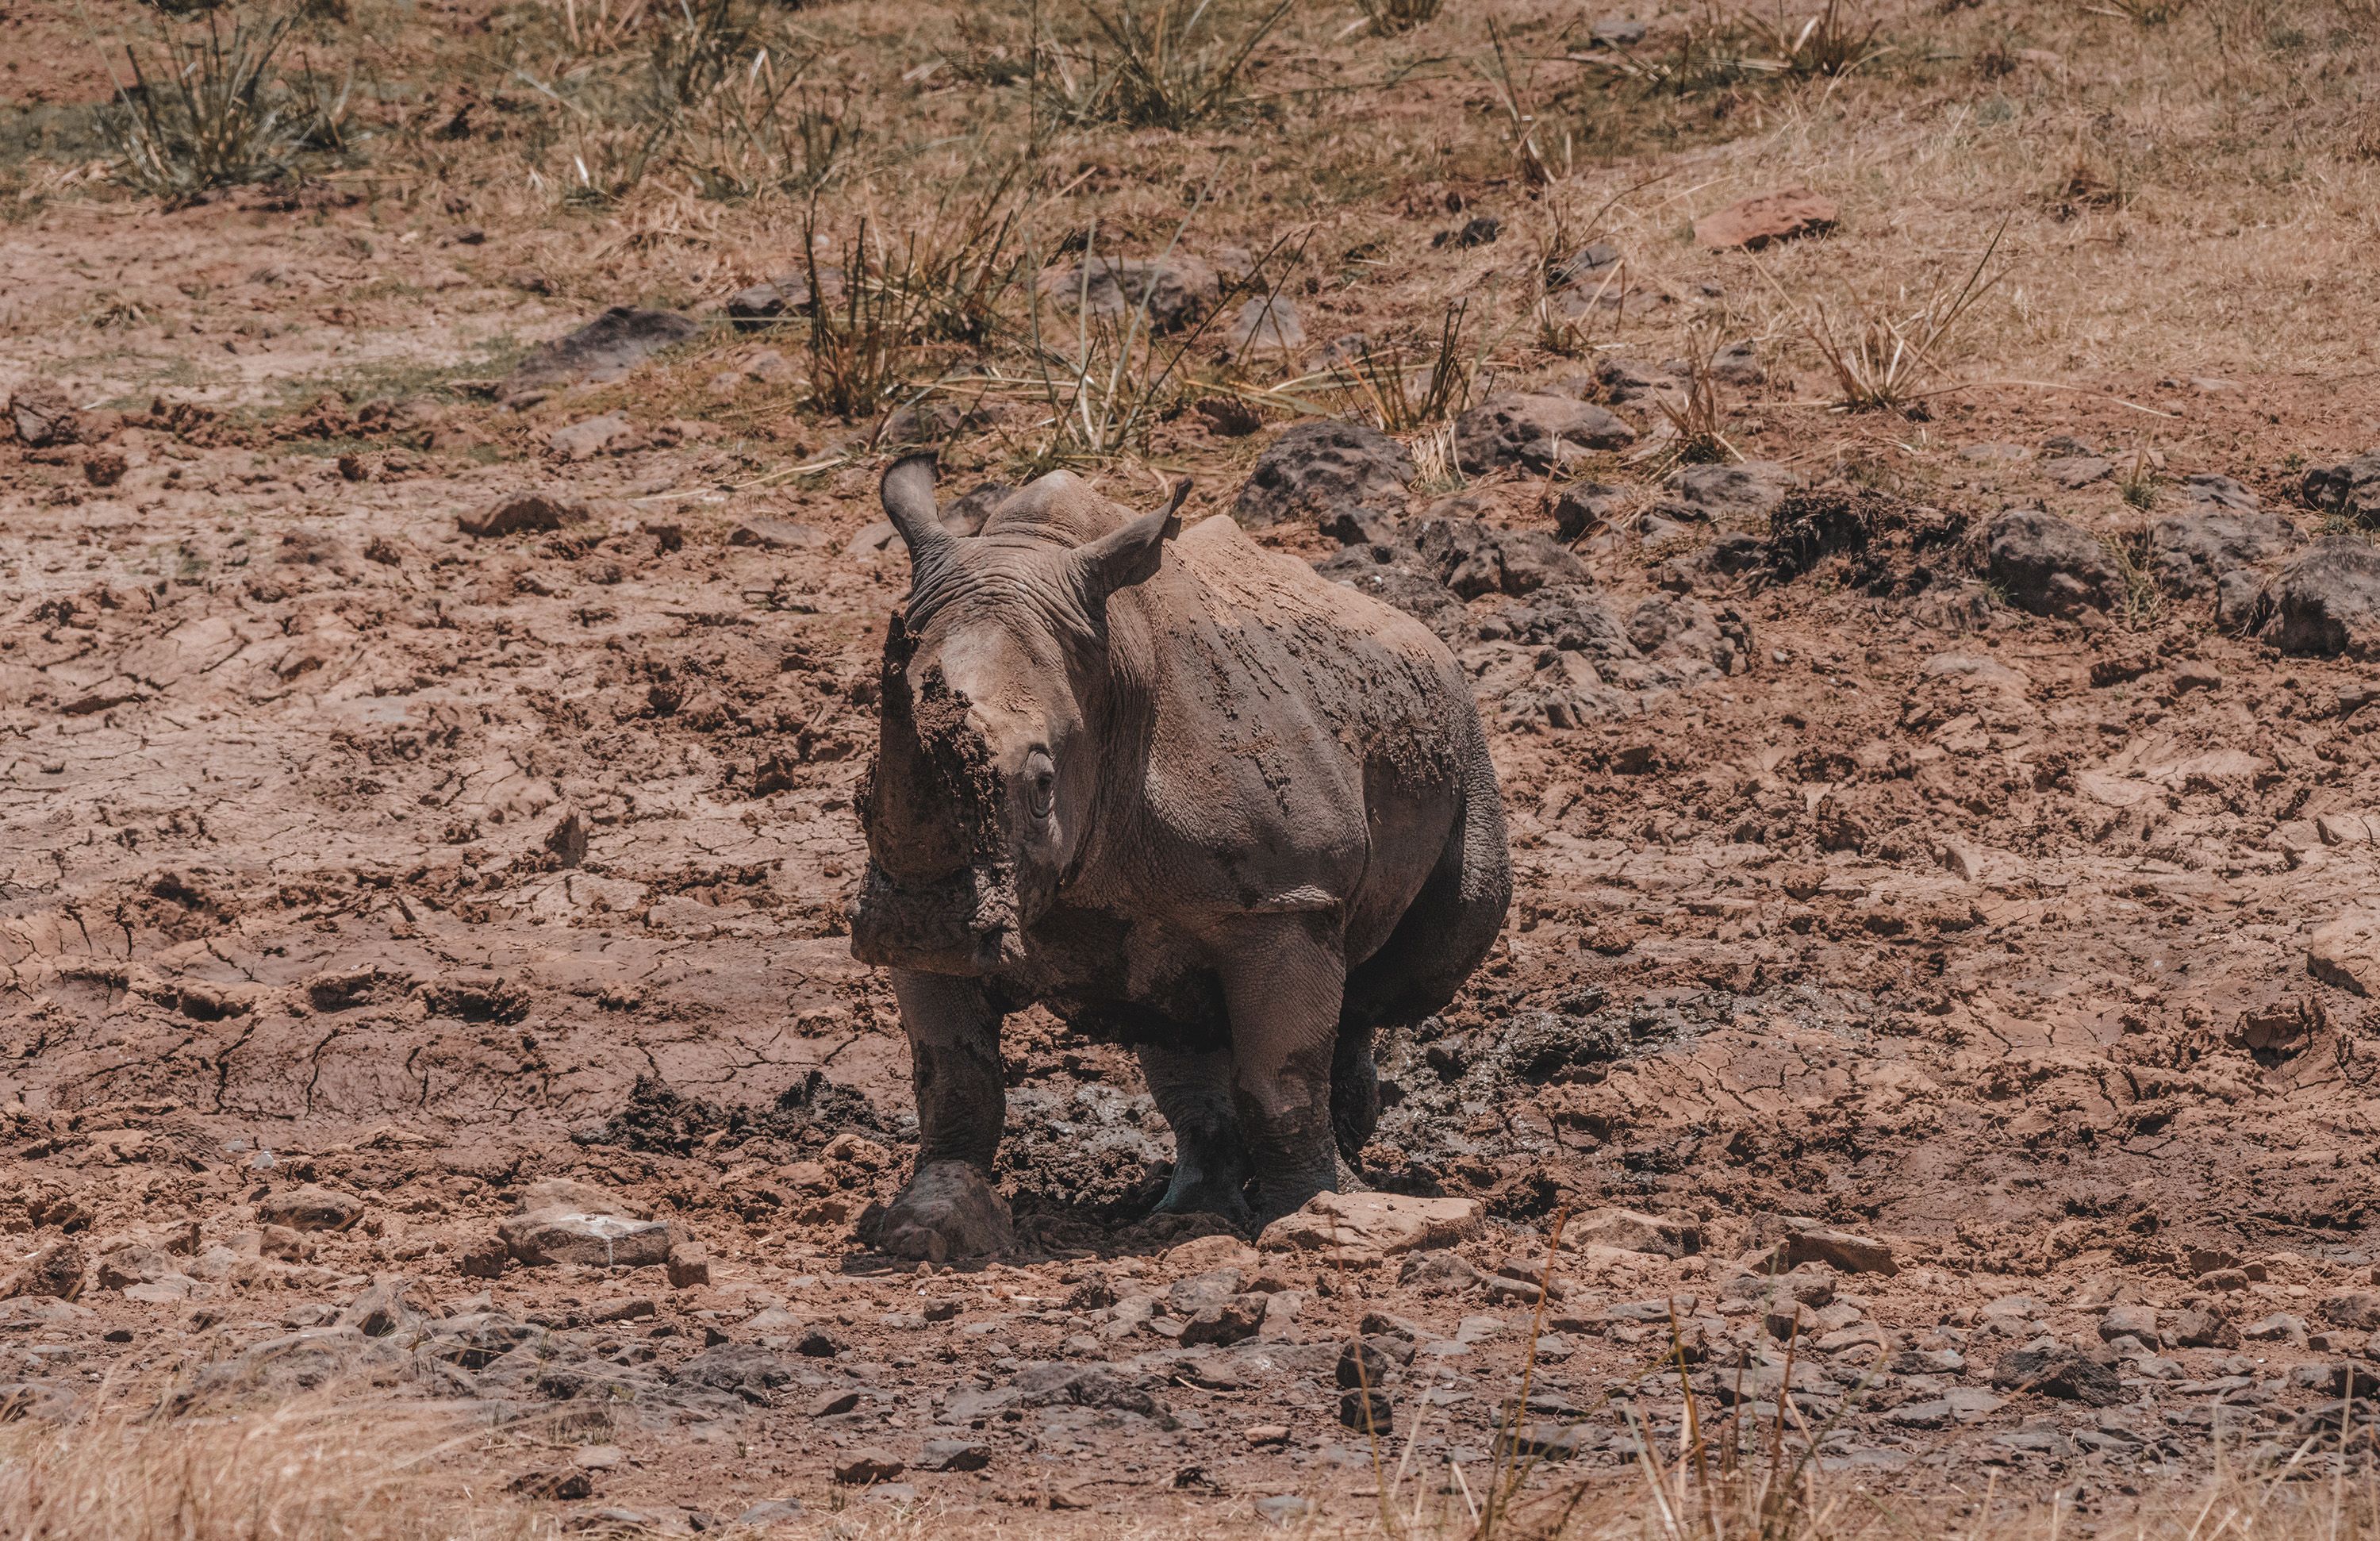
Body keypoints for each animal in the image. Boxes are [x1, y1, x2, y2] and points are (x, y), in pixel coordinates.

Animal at [850, 453, 1509, 1260]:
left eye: (1042, 785)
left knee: (1413, 969)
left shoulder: (1285, 898)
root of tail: (1425, 633)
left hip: (1462, 736)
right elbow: (954, 1083)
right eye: (864, 791)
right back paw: (1185, 1213)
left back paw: (1342, 1174)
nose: (918, 925)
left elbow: (1281, 1078)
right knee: (1173, 1025)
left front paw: (1309, 1216)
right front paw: (928, 1222)